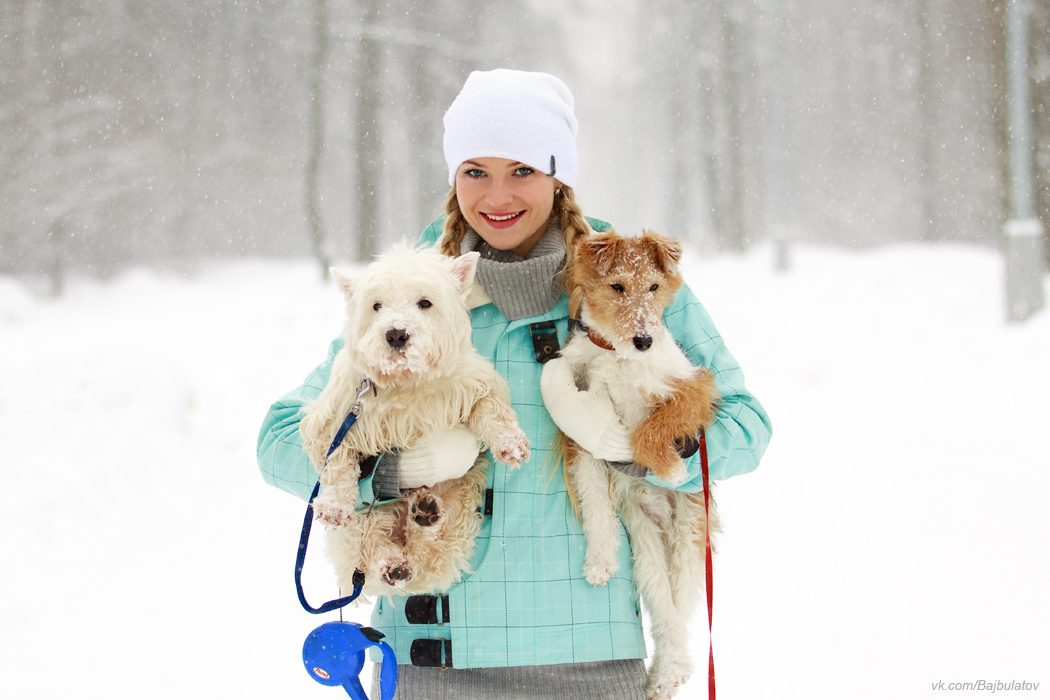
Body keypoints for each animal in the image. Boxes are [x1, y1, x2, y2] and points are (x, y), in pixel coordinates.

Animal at [304, 246, 533, 596]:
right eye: (377, 305)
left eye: (425, 303)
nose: (396, 333)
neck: (408, 383)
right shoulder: (336, 418)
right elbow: (337, 460)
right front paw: (333, 505)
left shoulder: (473, 385)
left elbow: (491, 409)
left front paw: (511, 444)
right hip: (369, 518)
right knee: (372, 543)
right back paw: (392, 562)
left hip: (460, 492)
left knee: (428, 541)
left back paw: (424, 515)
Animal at [541, 229, 722, 700]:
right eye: (617, 286)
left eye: (654, 287)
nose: (644, 341)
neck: (619, 356)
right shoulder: (581, 434)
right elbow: (594, 501)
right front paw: (599, 562)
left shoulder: (693, 387)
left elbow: (655, 426)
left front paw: (671, 467)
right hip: (644, 542)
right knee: (665, 609)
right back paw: (664, 676)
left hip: (690, 535)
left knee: (681, 604)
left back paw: (670, 670)